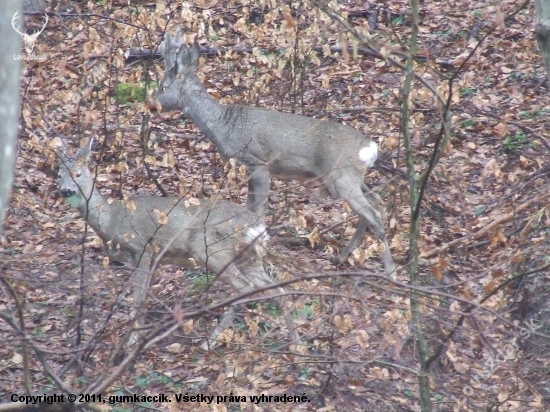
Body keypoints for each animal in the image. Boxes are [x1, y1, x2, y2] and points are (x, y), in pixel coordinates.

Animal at [55, 138, 302, 348]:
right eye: (58, 175)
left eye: (78, 173)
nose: (65, 190)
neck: (110, 220)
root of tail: (256, 226)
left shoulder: (142, 249)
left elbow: (138, 298)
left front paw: (132, 341)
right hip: (249, 257)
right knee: (277, 289)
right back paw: (296, 343)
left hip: (210, 250)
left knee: (245, 288)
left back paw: (210, 342)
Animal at [150, 30, 396, 276]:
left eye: (163, 86)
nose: (150, 105)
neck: (223, 125)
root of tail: (369, 145)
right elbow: (249, 208)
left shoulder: (257, 163)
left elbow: (259, 210)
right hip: (348, 177)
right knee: (374, 202)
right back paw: (343, 257)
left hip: (340, 176)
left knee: (373, 214)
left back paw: (390, 269)